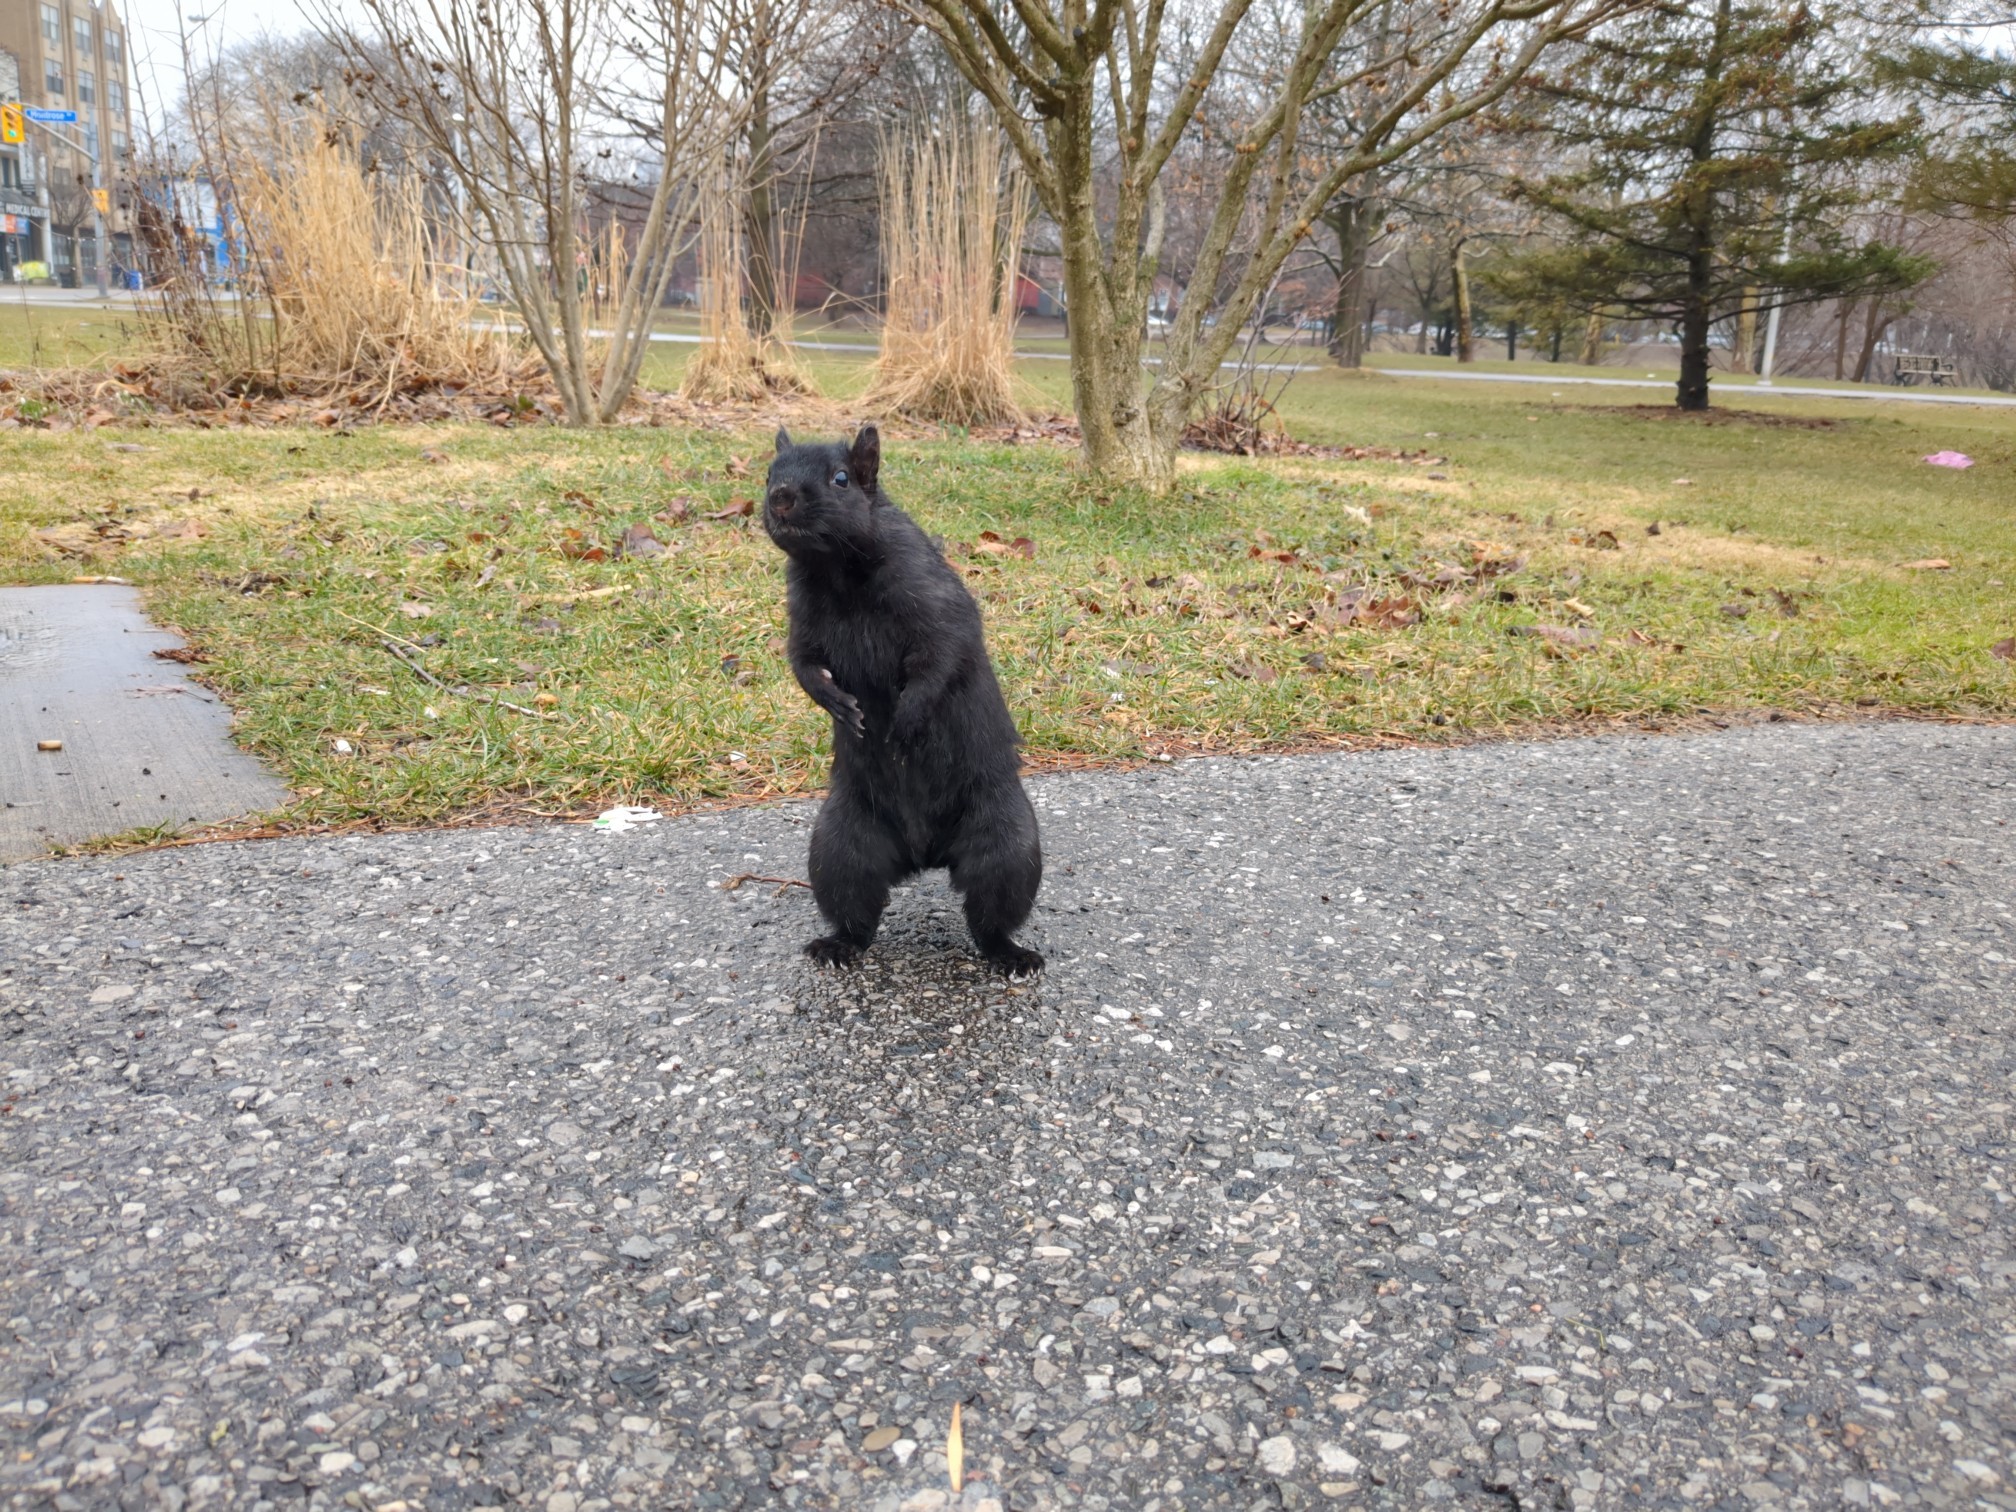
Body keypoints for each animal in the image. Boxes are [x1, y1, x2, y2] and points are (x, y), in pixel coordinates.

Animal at [761, 425, 1043, 976]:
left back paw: (1013, 955)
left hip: (1007, 847)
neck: (837, 571)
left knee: (990, 918)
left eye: (842, 478)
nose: (779, 498)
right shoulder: (802, 621)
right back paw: (837, 947)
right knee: (856, 910)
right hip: (840, 849)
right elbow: (802, 664)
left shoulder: (932, 602)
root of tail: (925, 854)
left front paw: (907, 720)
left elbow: (940, 659)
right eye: (768, 472)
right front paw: (838, 705)